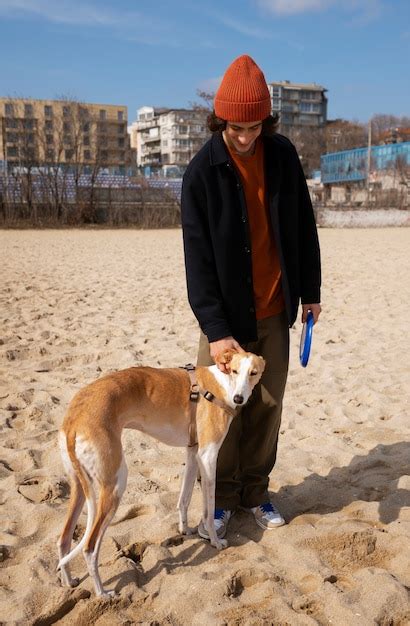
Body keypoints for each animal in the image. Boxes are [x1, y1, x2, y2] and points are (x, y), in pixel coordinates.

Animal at [57, 348, 266, 596]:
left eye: (253, 373)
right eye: (234, 370)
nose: (238, 399)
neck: (223, 384)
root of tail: (74, 418)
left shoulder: (193, 452)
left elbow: (184, 498)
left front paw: (185, 529)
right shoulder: (208, 455)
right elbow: (208, 510)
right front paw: (215, 542)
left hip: (79, 486)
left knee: (64, 538)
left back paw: (69, 581)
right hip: (115, 484)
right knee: (89, 546)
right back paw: (102, 593)